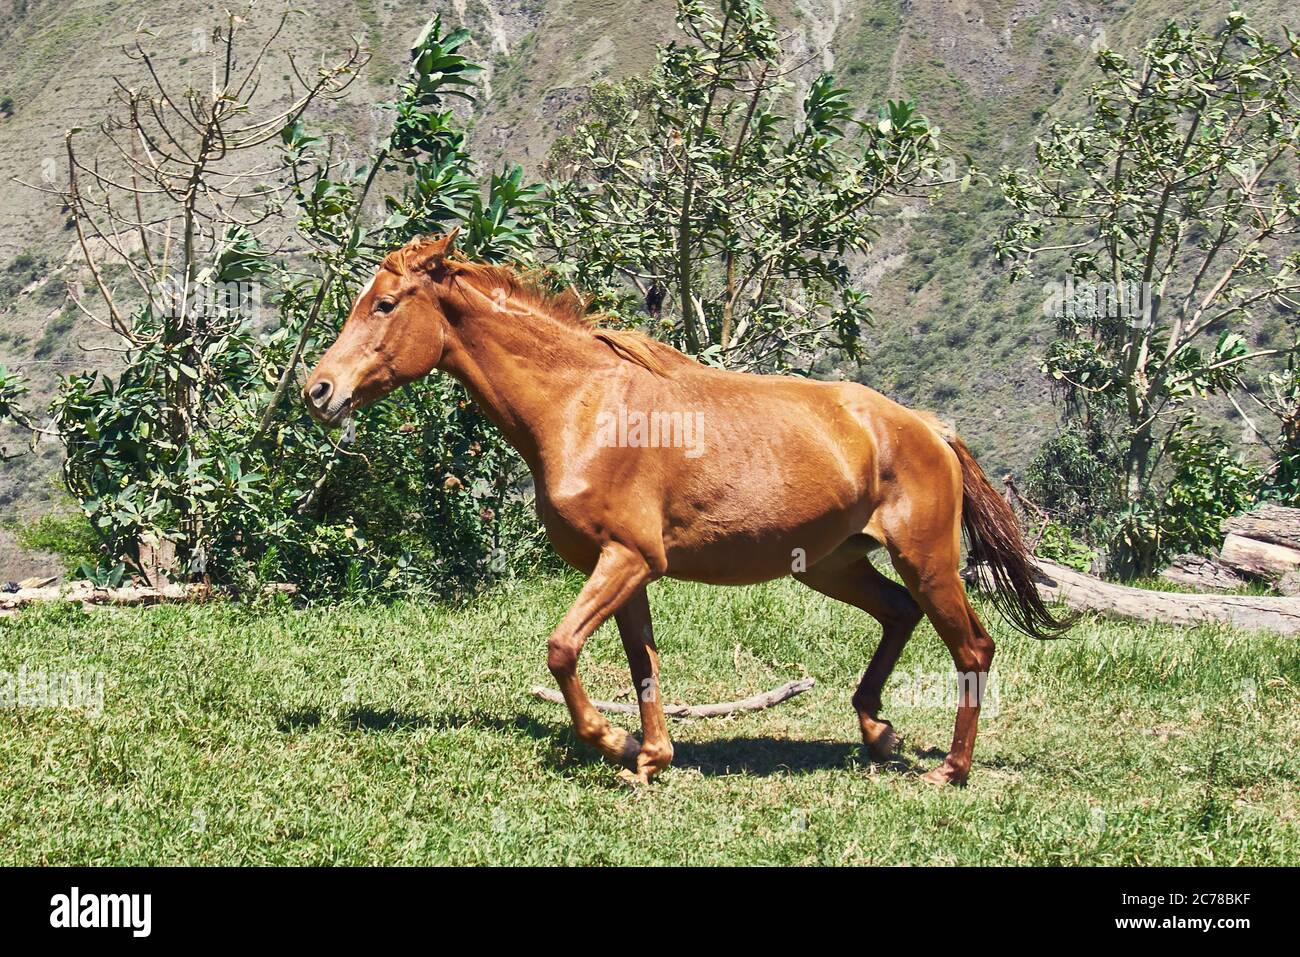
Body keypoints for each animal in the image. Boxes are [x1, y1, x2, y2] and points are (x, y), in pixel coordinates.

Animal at [303, 231, 1070, 786]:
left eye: (384, 304)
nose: (318, 390)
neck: (581, 407)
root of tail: (928, 427)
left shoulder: (625, 558)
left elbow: (562, 649)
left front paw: (612, 741)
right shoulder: (629, 566)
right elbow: (640, 661)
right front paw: (650, 756)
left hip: (925, 557)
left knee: (973, 646)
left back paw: (950, 768)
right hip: (833, 564)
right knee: (899, 614)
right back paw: (876, 731)